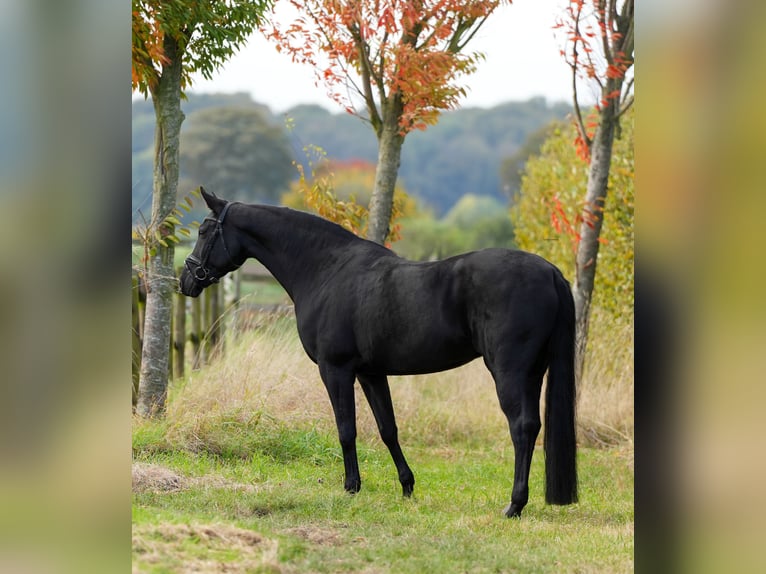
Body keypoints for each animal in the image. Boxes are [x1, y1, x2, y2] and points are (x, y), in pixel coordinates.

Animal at [180, 190, 576, 520]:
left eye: (203, 230)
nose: (186, 281)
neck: (326, 270)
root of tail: (550, 272)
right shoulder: (371, 373)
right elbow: (388, 429)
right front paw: (407, 486)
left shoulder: (335, 369)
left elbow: (346, 429)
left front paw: (351, 487)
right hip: (533, 373)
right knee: (533, 426)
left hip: (509, 371)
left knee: (521, 427)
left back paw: (514, 505)